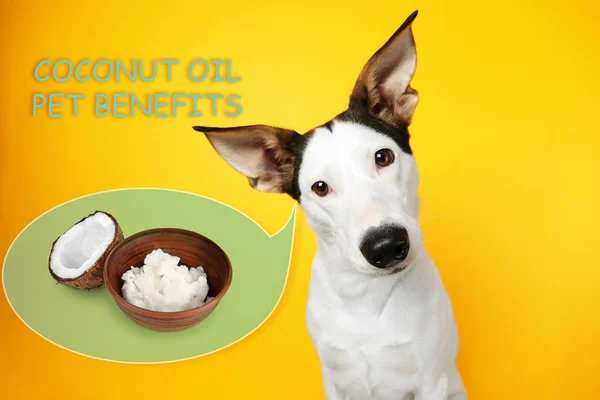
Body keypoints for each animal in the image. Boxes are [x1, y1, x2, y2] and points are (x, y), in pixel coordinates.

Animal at [195, 10, 466, 400]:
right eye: (320, 188)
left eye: (383, 157)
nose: (386, 246)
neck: (366, 297)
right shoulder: (335, 380)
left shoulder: (432, 381)